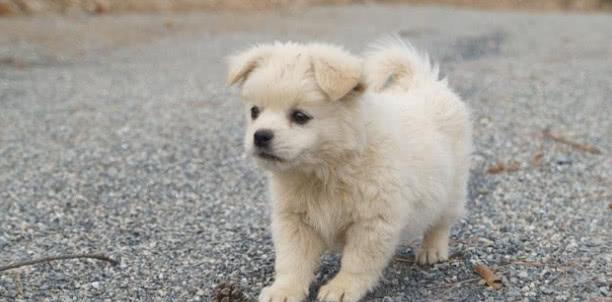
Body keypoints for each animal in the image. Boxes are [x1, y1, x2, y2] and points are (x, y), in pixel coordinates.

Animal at [227, 39, 470, 302]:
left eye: (300, 116)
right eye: (254, 111)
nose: (260, 136)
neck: (325, 171)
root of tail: (422, 81)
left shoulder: (372, 222)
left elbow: (357, 262)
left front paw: (342, 288)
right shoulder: (294, 220)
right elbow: (292, 261)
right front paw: (284, 290)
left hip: (453, 189)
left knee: (441, 223)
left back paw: (432, 250)